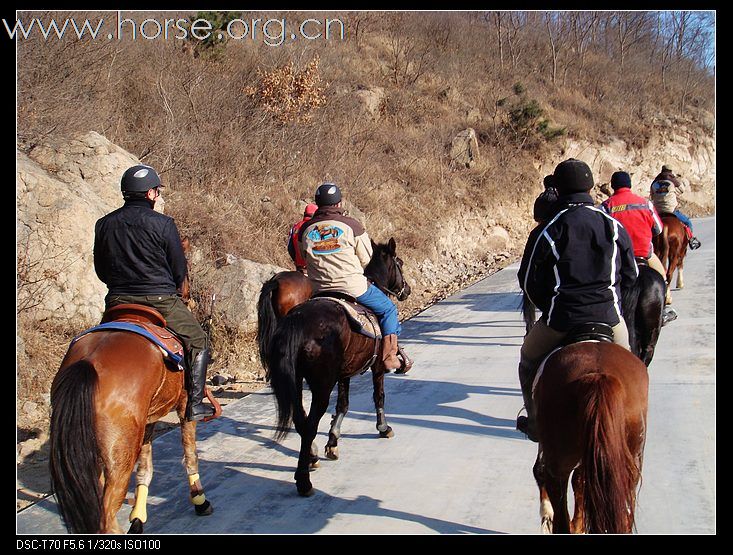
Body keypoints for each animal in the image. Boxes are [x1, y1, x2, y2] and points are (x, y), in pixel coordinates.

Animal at [48, 304, 219, 536]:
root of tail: (86, 364)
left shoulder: (147, 422)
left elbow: (145, 469)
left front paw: (138, 517)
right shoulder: (185, 405)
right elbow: (190, 454)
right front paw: (200, 500)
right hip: (121, 456)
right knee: (107, 518)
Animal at [268, 238, 408, 496]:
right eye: (399, 263)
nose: (407, 290)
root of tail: (297, 322)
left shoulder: (345, 373)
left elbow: (343, 404)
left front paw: (332, 442)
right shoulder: (376, 367)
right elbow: (379, 396)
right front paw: (383, 428)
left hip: (296, 381)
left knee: (301, 420)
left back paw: (311, 459)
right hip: (322, 385)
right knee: (310, 425)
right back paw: (303, 481)